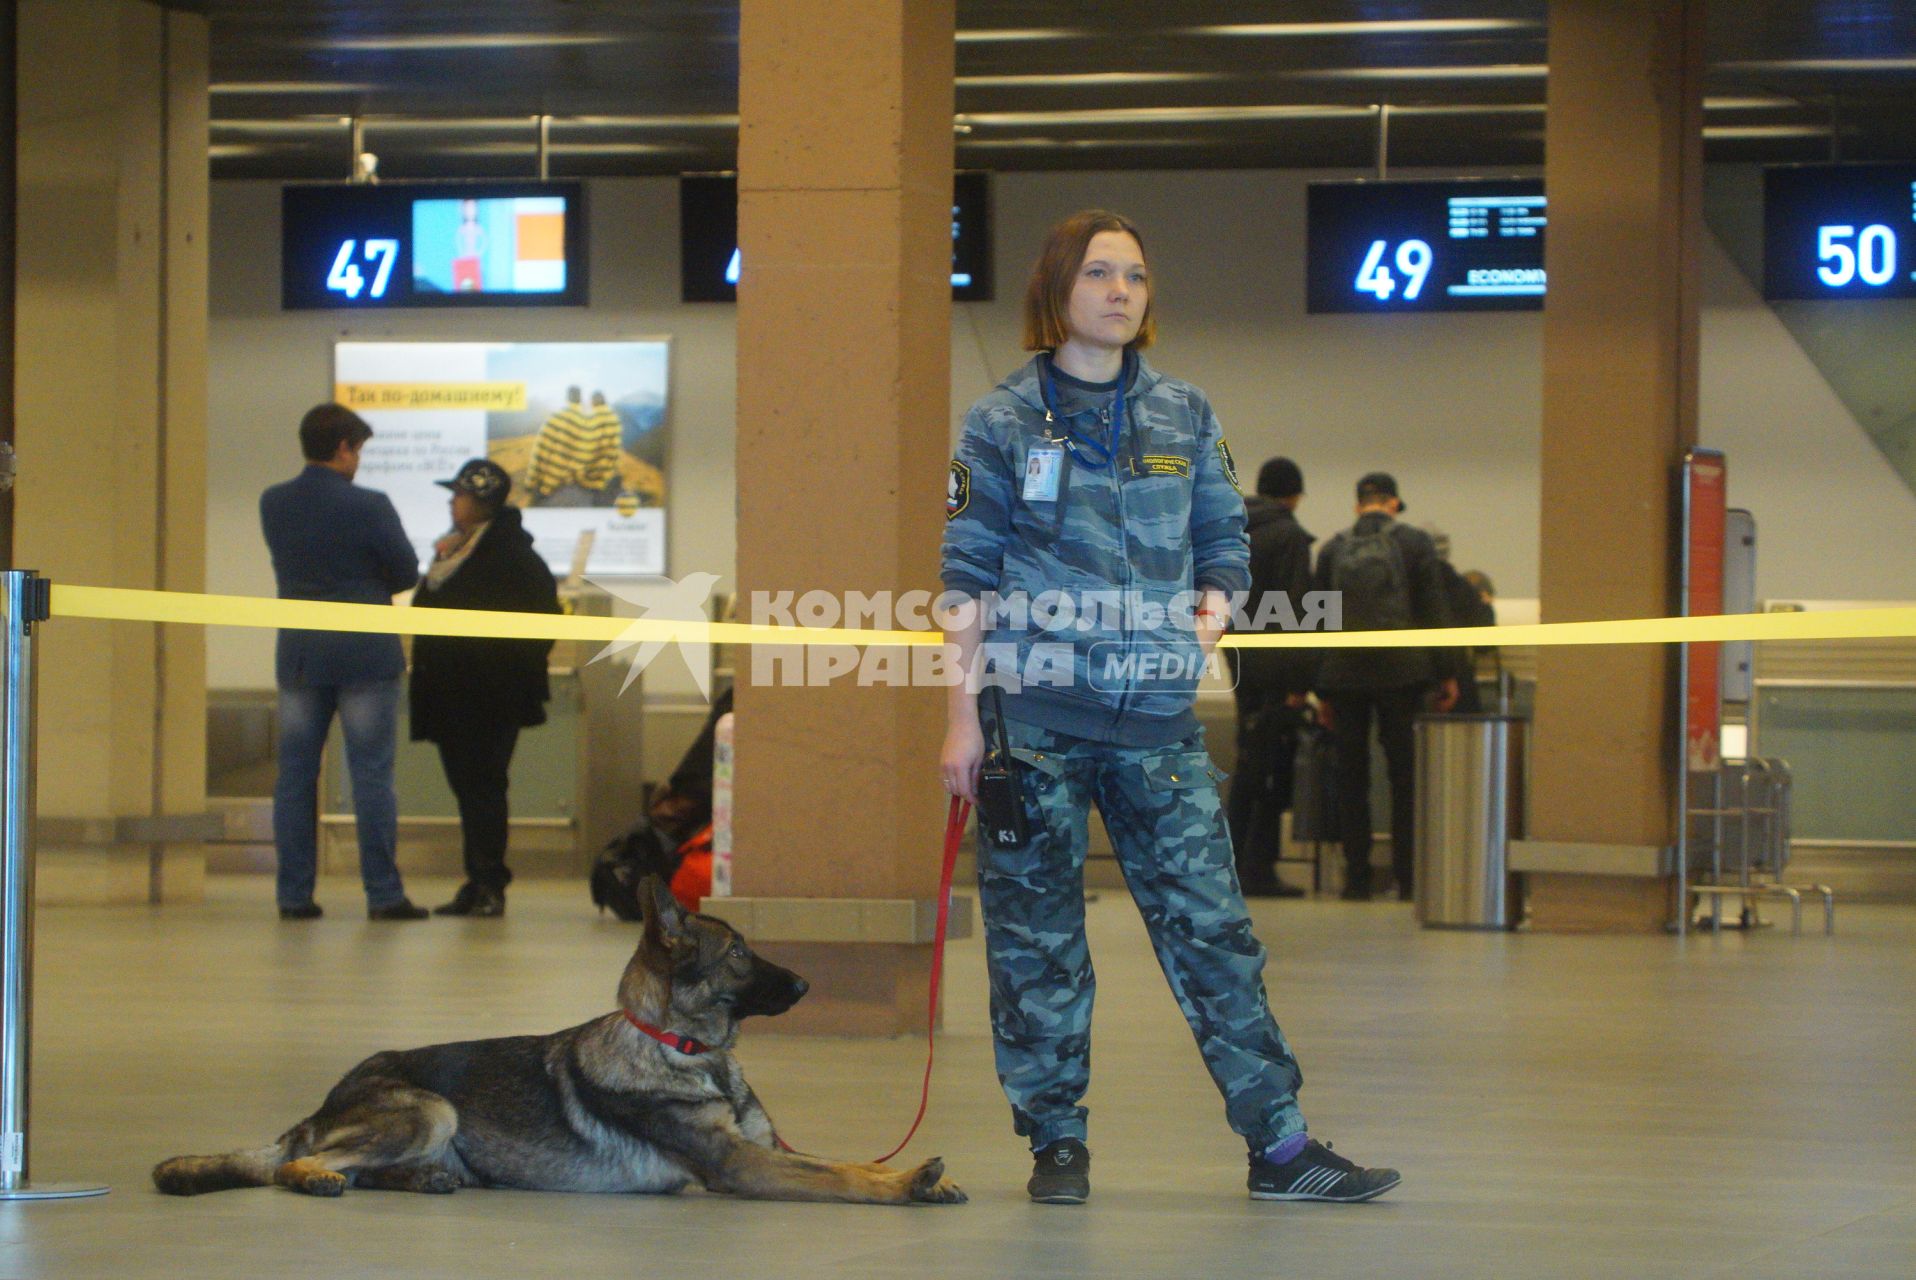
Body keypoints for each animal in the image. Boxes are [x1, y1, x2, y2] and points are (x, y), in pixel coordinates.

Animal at [151, 873, 965, 1203]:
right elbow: (844, 1176)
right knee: (302, 1166)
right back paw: (319, 1176)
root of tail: (320, 1106)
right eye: (737, 953)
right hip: (429, 1109)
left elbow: (838, 1159)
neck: (686, 1053)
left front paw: (921, 1176)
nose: (803, 985)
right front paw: (901, 1184)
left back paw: (424, 1180)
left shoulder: (763, 1148)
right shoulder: (739, 1164)